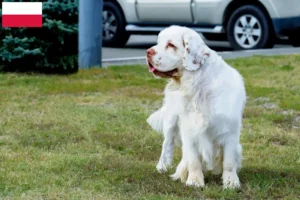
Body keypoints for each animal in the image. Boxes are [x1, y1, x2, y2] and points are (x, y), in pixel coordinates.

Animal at [145, 25, 246, 188]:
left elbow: (229, 161)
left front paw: (231, 182)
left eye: (171, 45)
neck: (197, 84)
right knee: (167, 143)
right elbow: (193, 159)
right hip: (171, 120)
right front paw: (194, 181)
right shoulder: (189, 128)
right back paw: (163, 167)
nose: (148, 52)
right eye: (158, 42)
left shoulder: (229, 130)